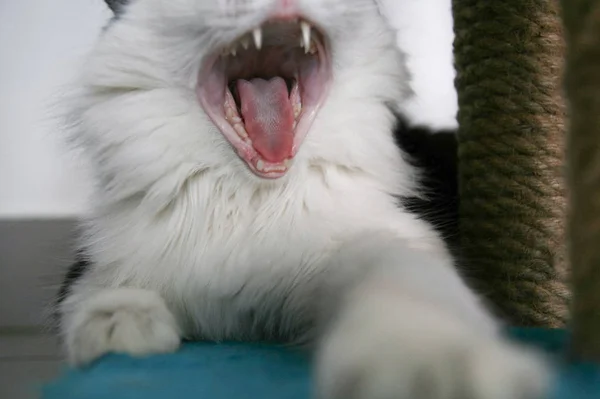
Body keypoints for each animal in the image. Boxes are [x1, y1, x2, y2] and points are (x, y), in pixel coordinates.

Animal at [58, 0, 552, 399]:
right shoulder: (95, 264)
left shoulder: (391, 238)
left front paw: (429, 370)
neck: (249, 199)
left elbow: (403, 292)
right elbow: (103, 296)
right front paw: (120, 333)